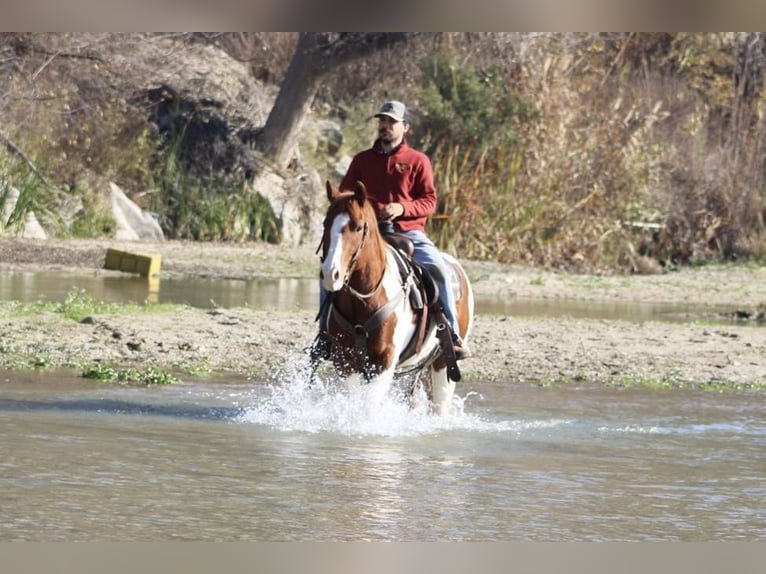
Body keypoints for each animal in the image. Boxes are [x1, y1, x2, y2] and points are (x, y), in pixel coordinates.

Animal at [316, 181, 474, 418]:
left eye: (358, 227)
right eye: (326, 223)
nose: (330, 273)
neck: (365, 300)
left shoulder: (384, 361)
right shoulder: (346, 362)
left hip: (442, 365)